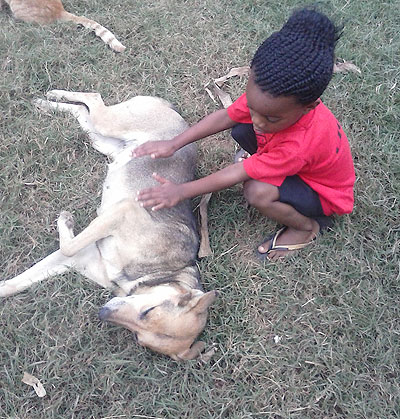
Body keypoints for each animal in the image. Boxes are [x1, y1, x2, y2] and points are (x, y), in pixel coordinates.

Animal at [0, 91, 217, 360]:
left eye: (139, 337)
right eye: (148, 311)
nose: (103, 313)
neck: (156, 273)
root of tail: (176, 114)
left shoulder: (79, 259)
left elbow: (20, 280)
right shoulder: (123, 212)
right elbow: (68, 246)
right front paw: (66, 220)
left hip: (103, 139)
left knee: (82, 111)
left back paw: (44, 104)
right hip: (112, 124)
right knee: (93, 98)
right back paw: (53, 95)